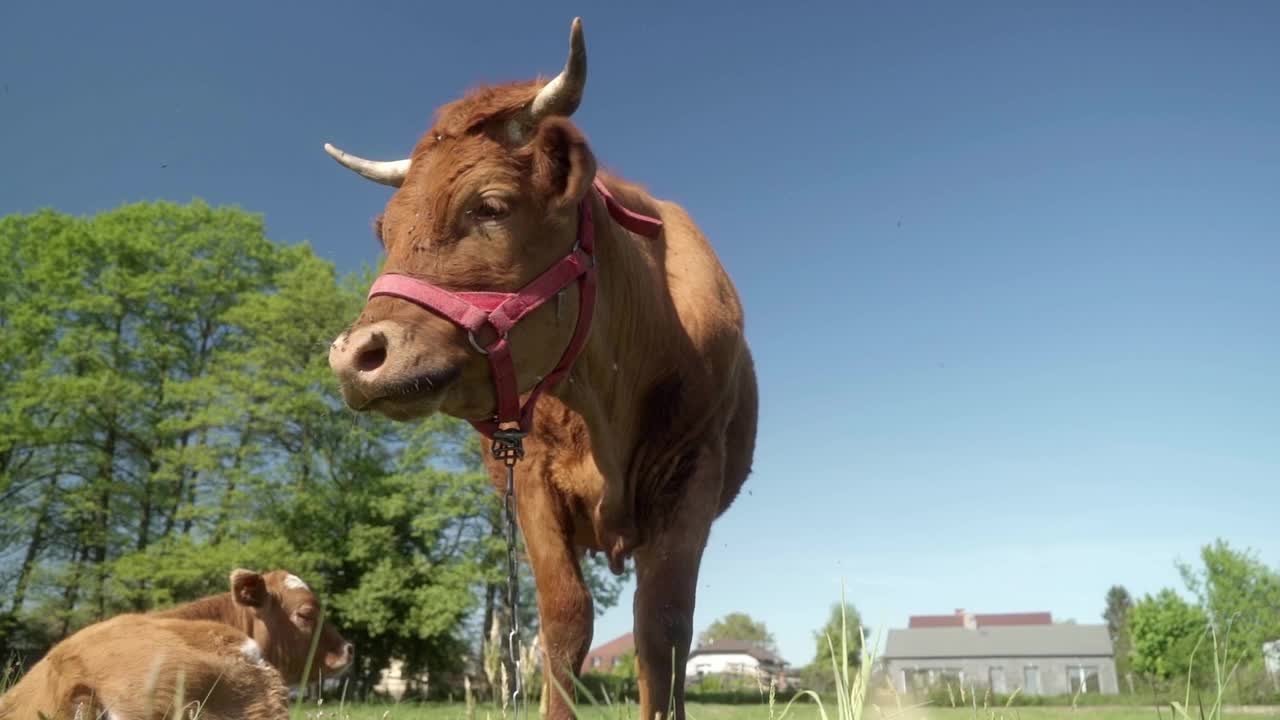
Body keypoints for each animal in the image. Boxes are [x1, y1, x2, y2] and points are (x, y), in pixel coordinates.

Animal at [325, 16, 752, 717]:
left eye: (490, 205)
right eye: (385, 230)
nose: (355, 357)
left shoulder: (693, 471)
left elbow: (664, 627)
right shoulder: (529, 476)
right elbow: (562, 621)